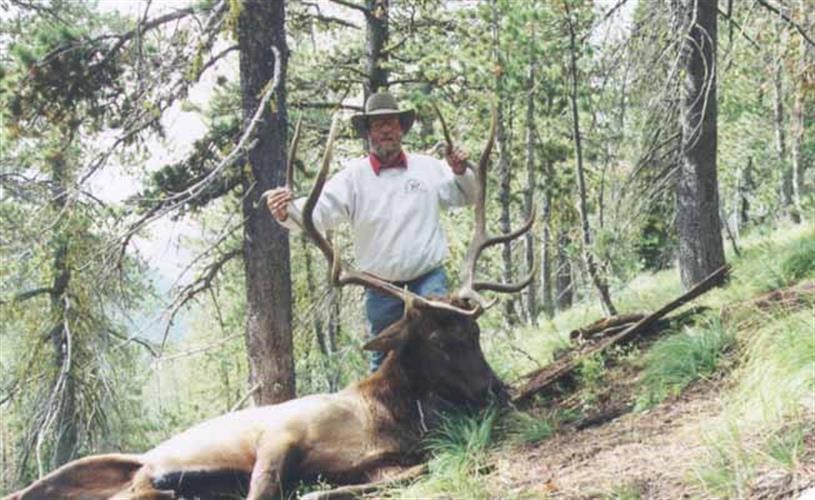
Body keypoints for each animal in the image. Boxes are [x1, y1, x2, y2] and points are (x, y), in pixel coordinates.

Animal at [3, 107, 535, 500]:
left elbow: (406, 471)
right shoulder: (281, 431)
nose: (497, 390)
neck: (380, 417)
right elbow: (264, 488)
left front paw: (319, 490)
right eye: (440, 340)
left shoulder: (386, 462)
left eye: (475, 333)